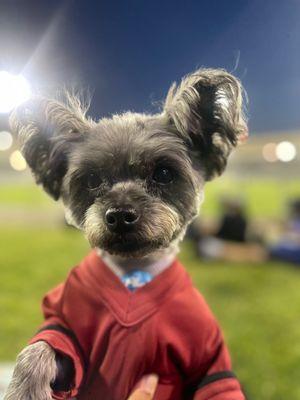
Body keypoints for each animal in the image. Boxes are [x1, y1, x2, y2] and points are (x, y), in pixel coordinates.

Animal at [5, 69, 248, 400]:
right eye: (92, 180)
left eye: (163, 174)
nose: (119, 215)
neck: (134, 272)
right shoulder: (63, 323)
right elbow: (39, 348)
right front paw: (24, 389)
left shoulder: (207, 357)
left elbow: (217, 386)